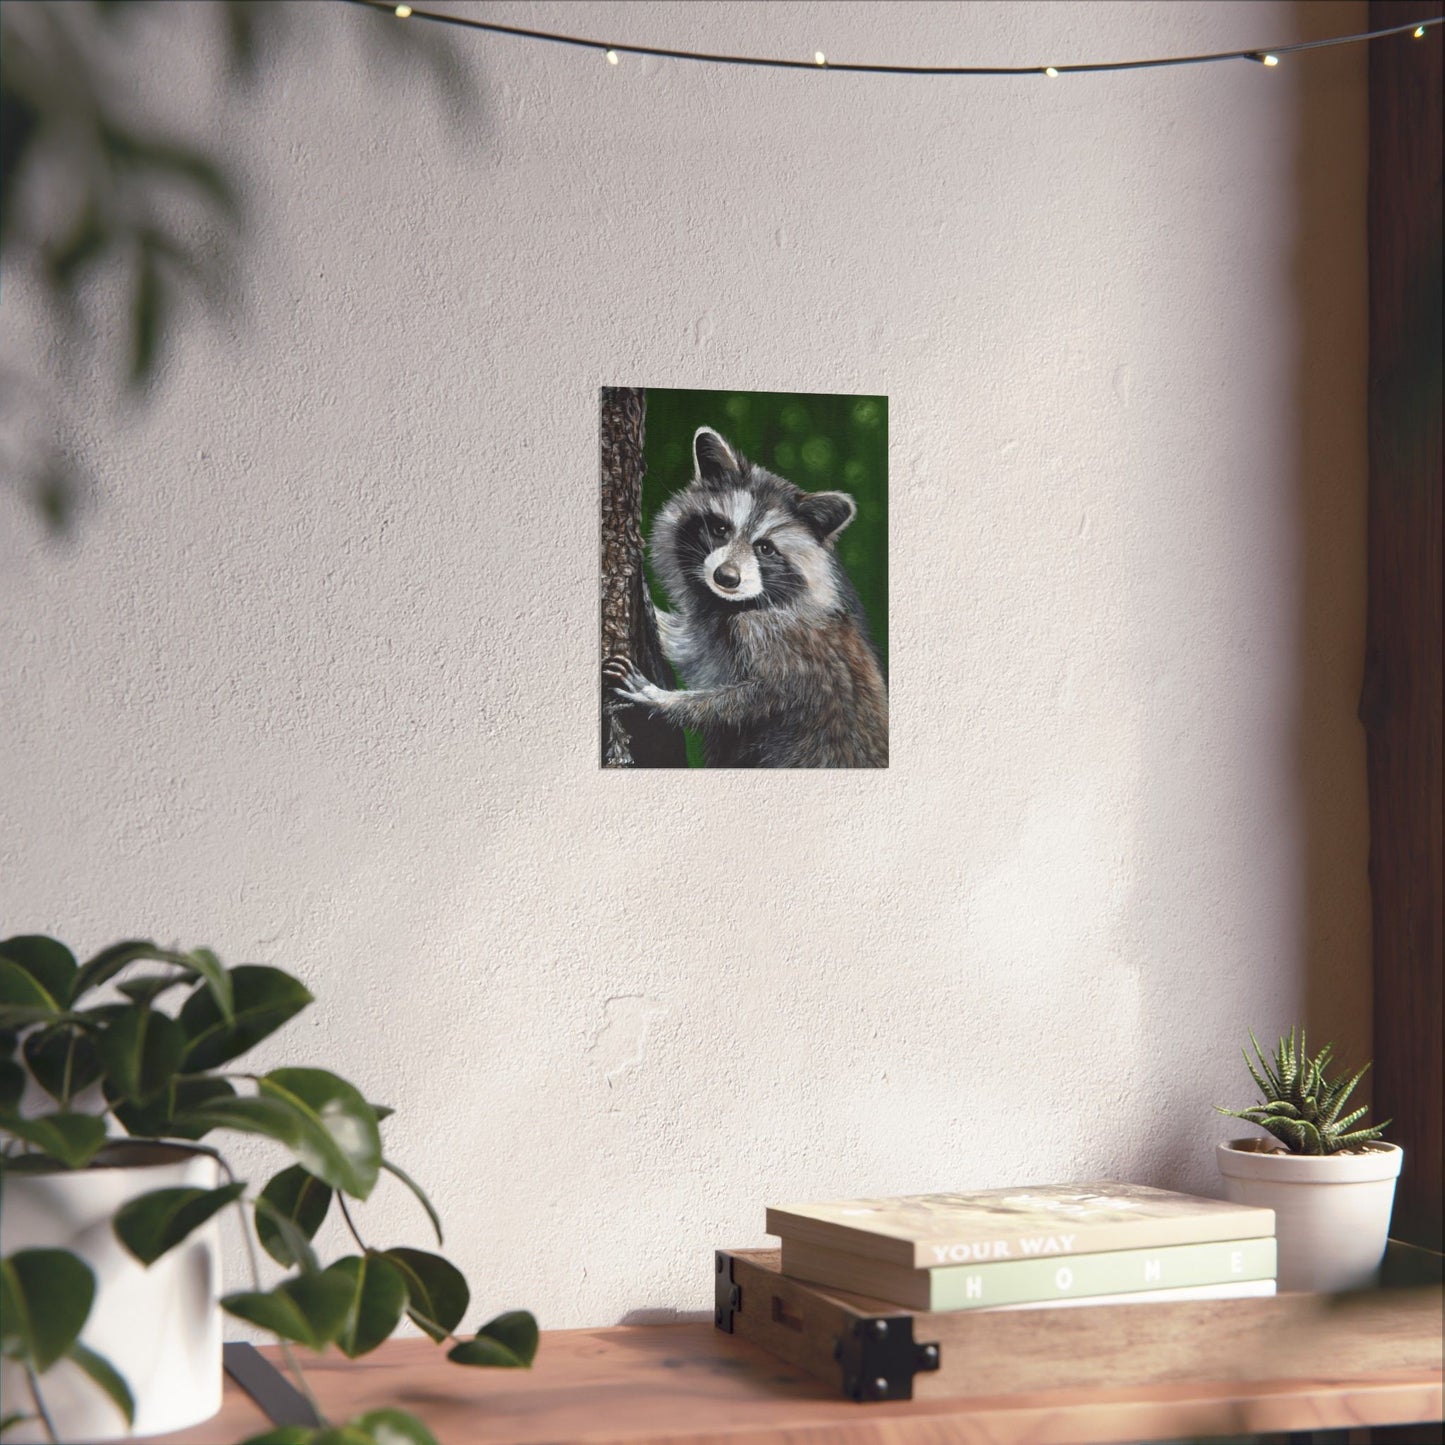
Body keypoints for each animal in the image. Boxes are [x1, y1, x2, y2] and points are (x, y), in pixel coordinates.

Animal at [603, 426, 888, 768]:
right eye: (720, 528)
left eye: (765, 548)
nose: (726, 577)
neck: (734, 604)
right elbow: (689, 647)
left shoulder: (777, 637)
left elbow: (755, 699)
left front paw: (661, 700)